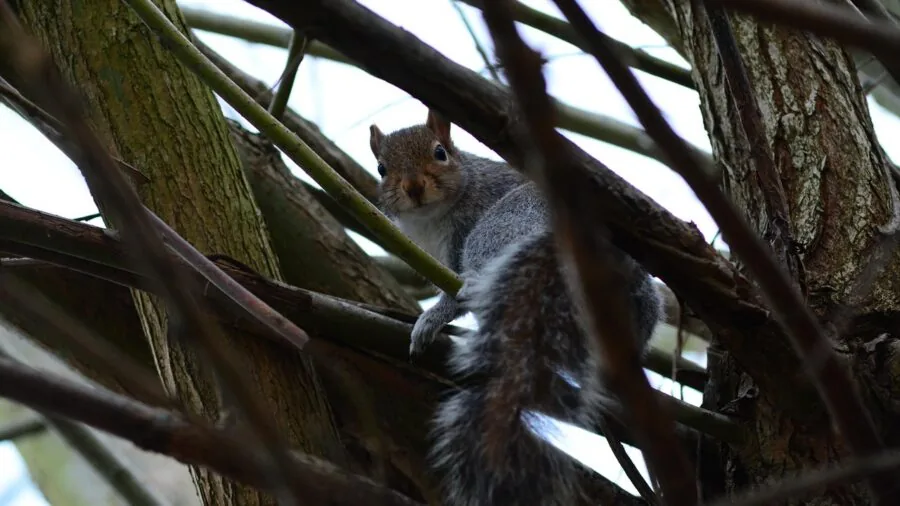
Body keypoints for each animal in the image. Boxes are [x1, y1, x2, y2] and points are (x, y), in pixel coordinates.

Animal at [370, 110, 662, 506]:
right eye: (382, 168)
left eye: (440, 152)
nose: (414, 187)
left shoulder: (462, 234)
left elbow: (451, 296)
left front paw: (431, 320)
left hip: (500, 227)